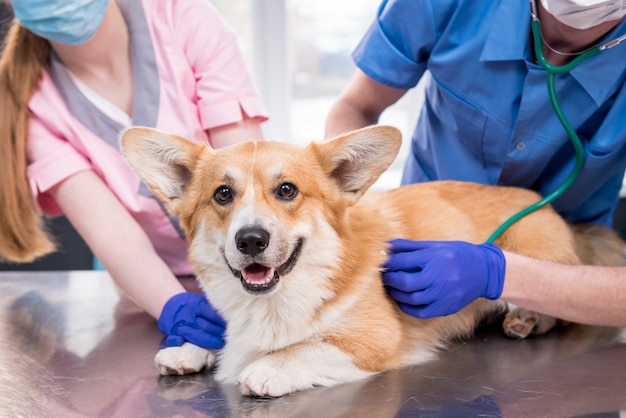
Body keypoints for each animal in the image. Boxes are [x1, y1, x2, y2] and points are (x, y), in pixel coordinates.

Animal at [119, 125, 620, 396]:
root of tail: (546, 205)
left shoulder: (373, 342)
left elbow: (303, 348)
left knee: (552, 304)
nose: (251, 240)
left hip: (531, 259)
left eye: (287, 190)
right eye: (223, 194)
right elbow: (214, 333)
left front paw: (265, 368)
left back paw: (523, 318)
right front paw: (190, 346)